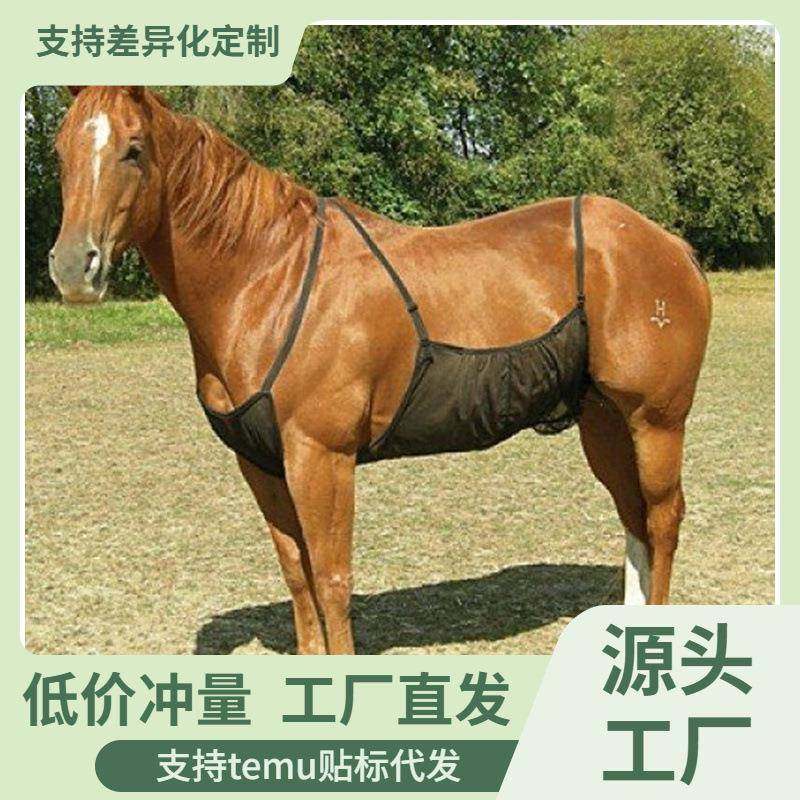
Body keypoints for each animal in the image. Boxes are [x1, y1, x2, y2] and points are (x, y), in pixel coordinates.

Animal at [48, 86, 712, 654]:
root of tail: (671, 246)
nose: (73, 267)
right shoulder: (260, 462)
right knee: (633, 520)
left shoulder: (321, 457)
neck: (268, 278)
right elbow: (297, 575)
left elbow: (332, 579)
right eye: (60, 149)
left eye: (134, 149)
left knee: (662, 520)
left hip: (656, 422)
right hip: (603, 422)